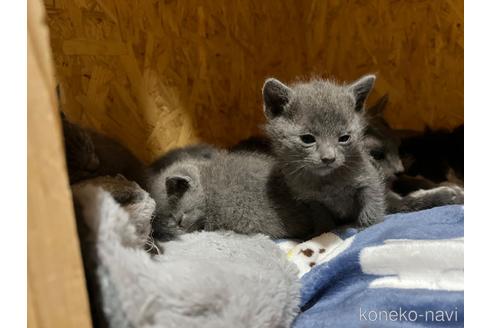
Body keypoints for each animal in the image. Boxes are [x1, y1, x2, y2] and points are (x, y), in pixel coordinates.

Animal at [264, 75, 386, 228]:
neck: (327, 180)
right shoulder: (311, 200)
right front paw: (325, 231)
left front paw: (369, 225)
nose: (329, 158)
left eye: (344, 138)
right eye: (307, 139)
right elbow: (322, 219)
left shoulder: (370, 178)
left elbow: (372, 204)